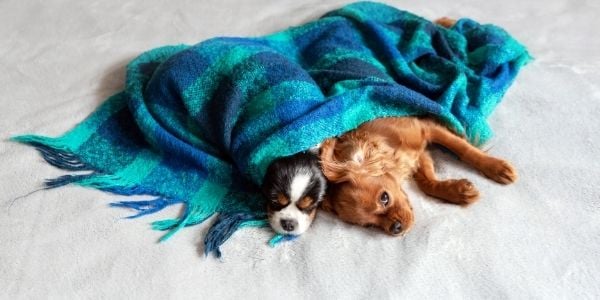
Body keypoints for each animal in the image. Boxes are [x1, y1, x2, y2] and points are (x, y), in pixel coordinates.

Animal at [318, 116, 516, 236]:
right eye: (369, 225)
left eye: (384, 198)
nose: (396, 228)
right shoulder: (418, 155)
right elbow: (428, 183)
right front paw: (459, 191)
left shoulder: (425, 127)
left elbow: (462, 148)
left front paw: (496, 167)